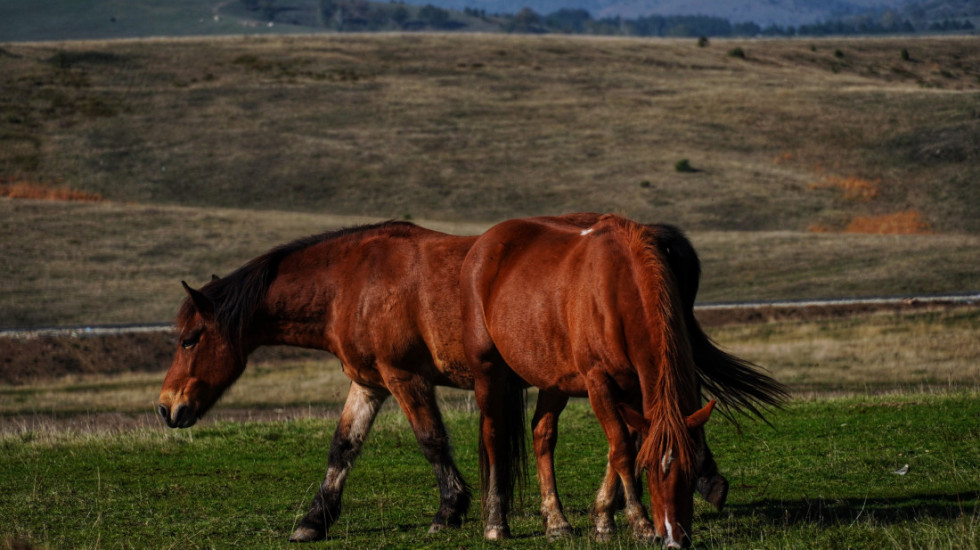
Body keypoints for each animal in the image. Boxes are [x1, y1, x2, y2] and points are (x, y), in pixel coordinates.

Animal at [460, 215, 764, 548]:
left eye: (692, 467)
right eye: (648, 468)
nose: (674, 539)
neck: (617, 292)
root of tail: (484, 242)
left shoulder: (632, 389)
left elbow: (622, 446)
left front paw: (603, 518)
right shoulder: (599, 383)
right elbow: (622, 450)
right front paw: (639, 523)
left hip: (554, 379)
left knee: (543, 435)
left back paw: (556, 521)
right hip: (488, 371)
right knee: (494, 436)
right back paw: (495, 523)